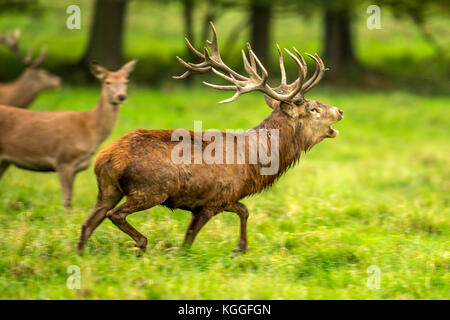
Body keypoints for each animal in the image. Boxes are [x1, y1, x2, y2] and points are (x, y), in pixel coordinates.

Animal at [0, 60, 136, 208]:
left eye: (126, 81)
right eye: (107, 82)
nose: (121, 96)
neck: (90, 129)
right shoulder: (64, 159)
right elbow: (66, 202)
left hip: (5, 161)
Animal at [77, 23, 342, 255]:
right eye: (313, 109)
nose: (339, 111)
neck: (254, 164)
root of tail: (105, 158)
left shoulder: (227, 197)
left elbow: (244, 210)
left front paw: (240, 248)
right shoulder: (213, 200)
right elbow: (189, 240)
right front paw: (229, 249)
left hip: (108, 189)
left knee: (88, 223)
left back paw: (80, 254)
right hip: (151, 190)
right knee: (115, 215)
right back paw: (141, 244)